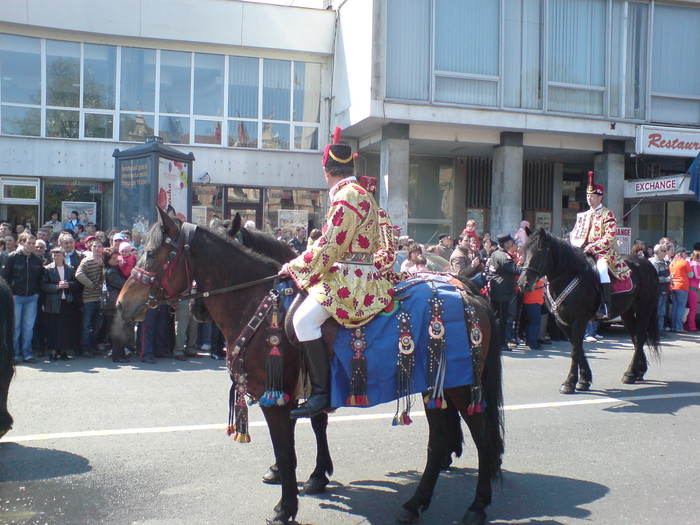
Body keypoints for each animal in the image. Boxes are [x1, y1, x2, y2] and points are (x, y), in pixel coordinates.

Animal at [117, 209, 506, 524]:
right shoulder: (299, 392)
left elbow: (288, 451)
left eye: (152, 253)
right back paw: (415, 504)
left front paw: (286, 506)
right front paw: (311, 478)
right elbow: (309, 431)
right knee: (439, 442)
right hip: (435, 387)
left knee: (483, 439)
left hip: (459, 387)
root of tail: (470, 295)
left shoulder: (279, 397)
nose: (122, 304)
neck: (256, 301)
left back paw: (477, 506)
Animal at [516, 229, 660, 392]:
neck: (568, 276)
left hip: (644, 308)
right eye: (524, 251)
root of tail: (647, 263)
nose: (523, 284)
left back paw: (630, 373)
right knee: (635, 338)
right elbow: (577, 348)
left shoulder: (578, 321)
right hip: (627, 312)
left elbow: (575, 350)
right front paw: (584, 380)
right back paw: (637, 372)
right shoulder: (563, 323)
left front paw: (569, 383)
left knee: (640, 337)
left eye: (540, 252)